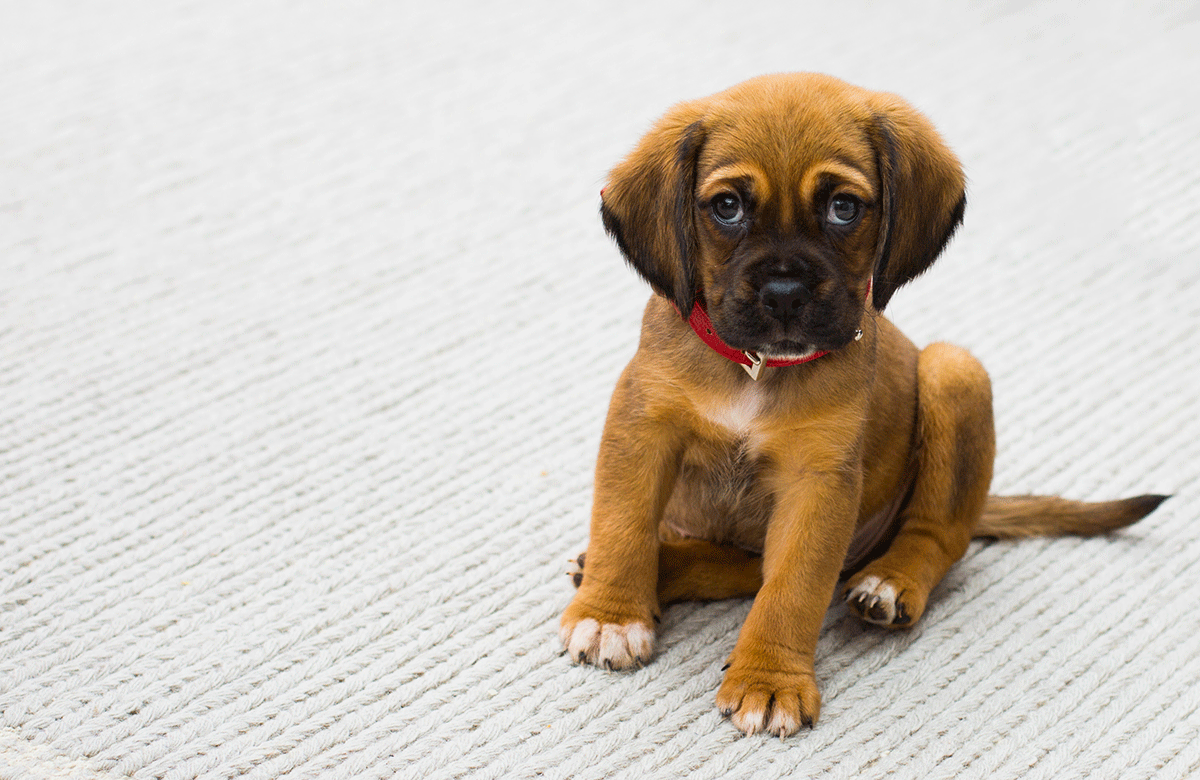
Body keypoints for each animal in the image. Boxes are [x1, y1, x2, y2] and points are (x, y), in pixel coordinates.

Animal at [561, 69, 1171, 734]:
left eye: (842, 208)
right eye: (727, 207)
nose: (784, 293)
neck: (755, 369)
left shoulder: (819, 482)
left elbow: (794, 588)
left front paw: (769, 679)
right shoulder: (642, 429)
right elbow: (623, 525)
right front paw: (611, 614)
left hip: (954, 372)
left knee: (937, 536)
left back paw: (891, 582)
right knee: (740, 565)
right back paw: (656, 568)